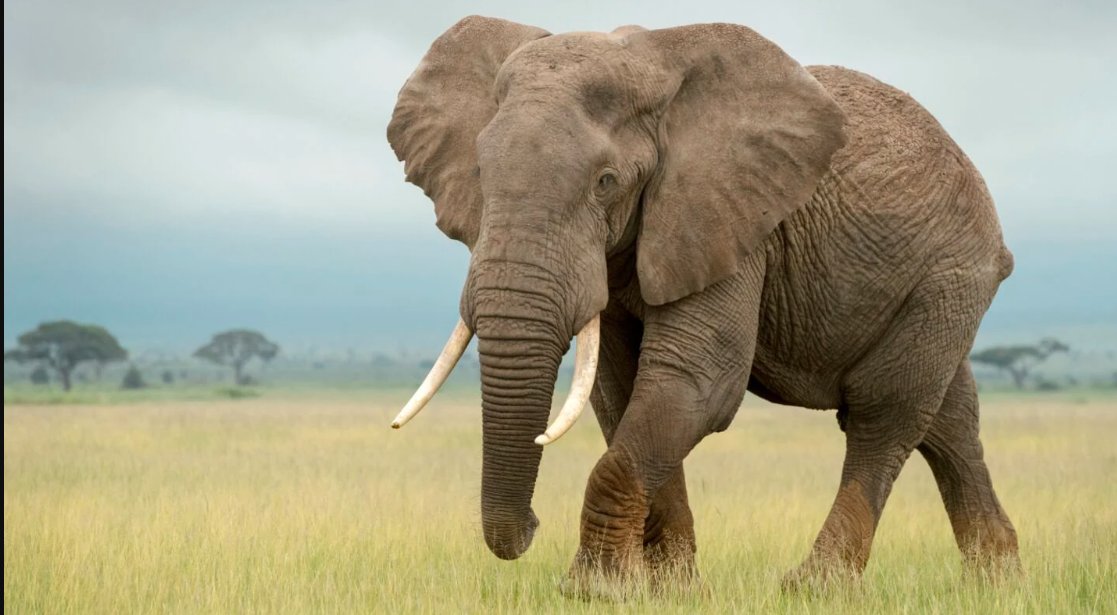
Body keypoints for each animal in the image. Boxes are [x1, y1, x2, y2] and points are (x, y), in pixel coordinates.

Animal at [386, 16, 1021, 595]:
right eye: (480, 174)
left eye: (606, 182)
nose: (532, 528)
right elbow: (623, 391)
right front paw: (670, 591)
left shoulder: (731, 219)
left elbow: (697, 381)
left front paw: (596, 591)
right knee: (948, 420)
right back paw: (997, 583)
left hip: (950, 274)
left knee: (884, 412)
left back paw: (815, 588)